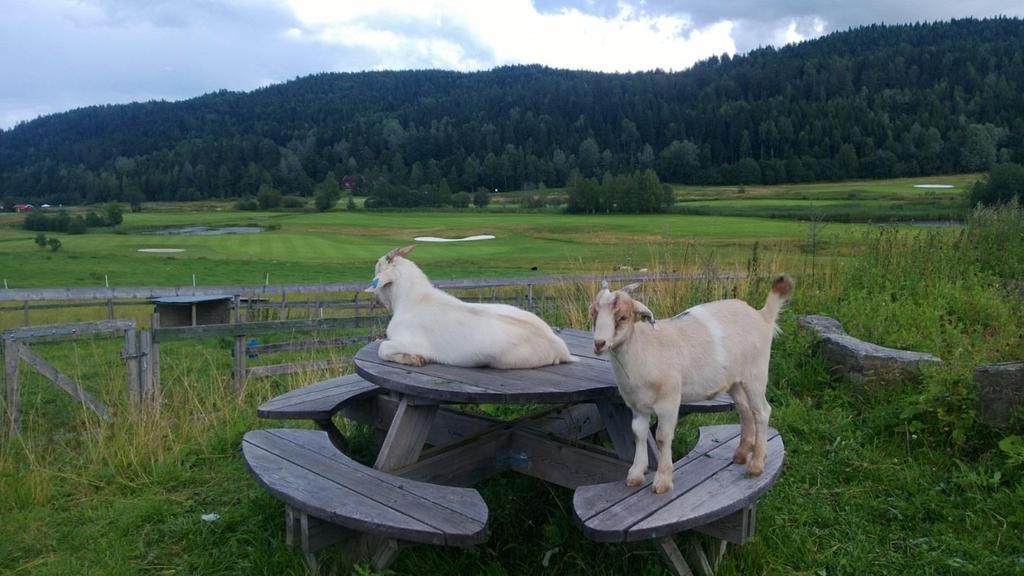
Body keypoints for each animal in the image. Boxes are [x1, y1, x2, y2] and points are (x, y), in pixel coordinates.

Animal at [366, 243, 577, 364]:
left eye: (377, 267)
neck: (413, 298)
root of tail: (560, 347)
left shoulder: (410, 341)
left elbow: (383, 348)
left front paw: (413, 359)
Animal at [589, 276, 794, 491]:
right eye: (593, 313)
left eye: (622, 317)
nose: (599, 344)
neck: (642, 350)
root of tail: (762, 316)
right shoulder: (636, 404)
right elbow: (638, 434)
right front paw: (635, 475)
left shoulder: (669, 401)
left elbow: (662, 437)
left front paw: (662, 481)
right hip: (735, 381)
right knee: (745, 410)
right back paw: (741, 454)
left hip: (756, 374)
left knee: (761, 411)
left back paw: (756, 465)